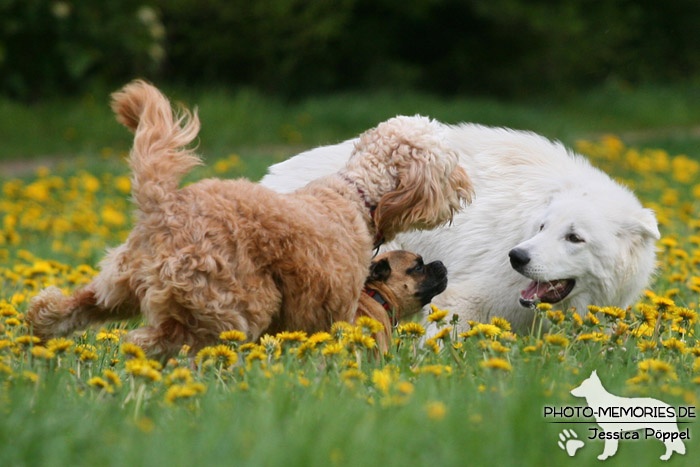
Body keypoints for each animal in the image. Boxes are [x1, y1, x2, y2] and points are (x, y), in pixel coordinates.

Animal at [30, 81, 474, 358]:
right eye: (447, 165)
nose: (466, 186)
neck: (356, 194)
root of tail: (164, 206)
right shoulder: (337, 307)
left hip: (118, 287)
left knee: (57, 307)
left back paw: (37, 340)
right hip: (231, 306)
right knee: (155, 340)